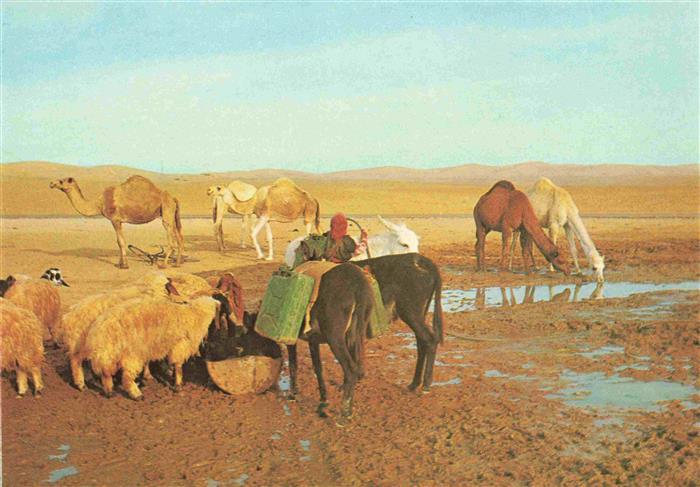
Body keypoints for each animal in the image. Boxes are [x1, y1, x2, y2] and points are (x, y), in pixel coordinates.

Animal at [50, 175, 184, 269]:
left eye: (61, 181)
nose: (51, 183)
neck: (99, 203)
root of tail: (173, 198)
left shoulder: (115, 219)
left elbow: (120, 241)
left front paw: (124, 265)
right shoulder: (118, 221)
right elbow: (119, 241)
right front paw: (120, 264)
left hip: (166, 210)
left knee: (171, 237)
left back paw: (164, 265)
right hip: (171, 213)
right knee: (179, 237)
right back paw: (177, 263)